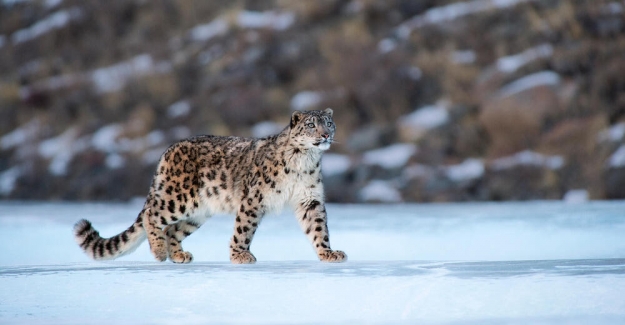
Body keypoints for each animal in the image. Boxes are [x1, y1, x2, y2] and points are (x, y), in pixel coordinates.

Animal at [74, 109, 346, 264]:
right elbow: (244, 228)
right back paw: (159, 252)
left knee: (173, 231)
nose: (325, 135)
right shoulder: (254, 199)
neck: (305, 161)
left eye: (329, 123)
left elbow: (318, 228)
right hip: (177, 199)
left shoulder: (309, 199)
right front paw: (240, 255)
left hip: (197, 212)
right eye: (311, 125)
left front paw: (328, 252)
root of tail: (167, 151)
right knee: (152, 214)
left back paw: (179, 256)